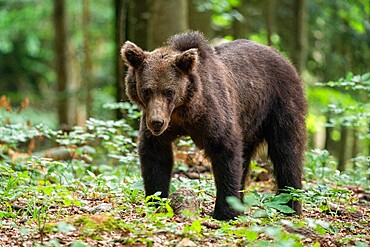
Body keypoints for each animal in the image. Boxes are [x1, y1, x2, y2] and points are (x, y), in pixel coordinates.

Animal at [120, 30, 306, 220]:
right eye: (147, 90)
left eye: (169, 91)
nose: (157, 122)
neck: (184, 111)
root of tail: (282, 57)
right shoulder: (163, 126)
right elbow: (156, 156)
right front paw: (156, 201)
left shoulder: (213, 115)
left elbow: (226, 153)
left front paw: (224, 211)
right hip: (249, 121)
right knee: (246, 156)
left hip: (280, 103)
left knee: (286, 152)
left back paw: (290, 204)